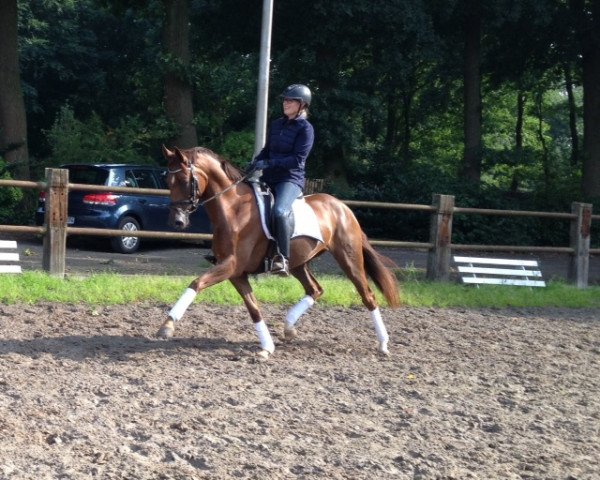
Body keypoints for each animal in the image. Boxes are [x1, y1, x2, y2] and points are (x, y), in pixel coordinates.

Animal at [156, 146, 398, 360]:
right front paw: (267, 348)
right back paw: (289, 327)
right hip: (299, 263)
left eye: (185, 181)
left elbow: (196, 283)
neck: (234, 210)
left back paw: (384, 345)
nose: (177, 221)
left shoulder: (231, 265)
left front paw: (167, 325)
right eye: (168, 182)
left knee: (368, 296)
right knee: (315, 290)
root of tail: (343, 207)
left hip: (349, 259)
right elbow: (254, 308)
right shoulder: (236, 273)